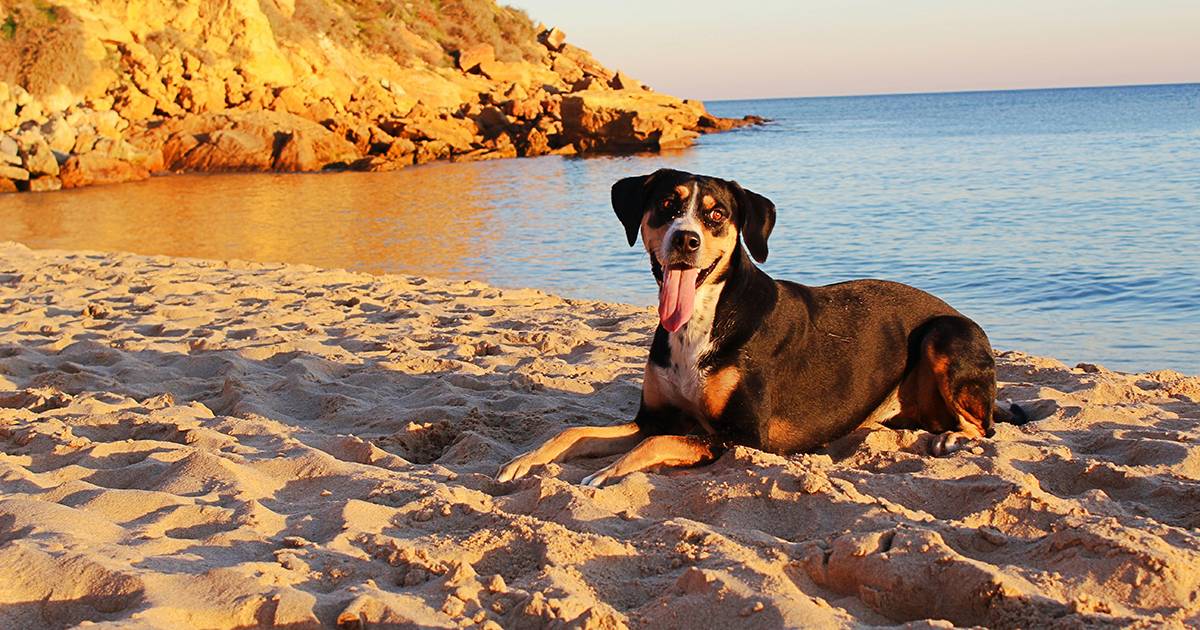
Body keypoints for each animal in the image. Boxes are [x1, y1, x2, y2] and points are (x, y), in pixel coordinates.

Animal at [496, 168, 1022, 487]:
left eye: (716, 215)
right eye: (666, 205)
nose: (685, 240)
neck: (701, 321)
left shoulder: (741, 436)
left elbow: (659, 442)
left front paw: (607, 473)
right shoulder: (654, 416)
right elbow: (574, 431)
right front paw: (524, 459)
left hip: (944, 334)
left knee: (985, 428)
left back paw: (952, 437)